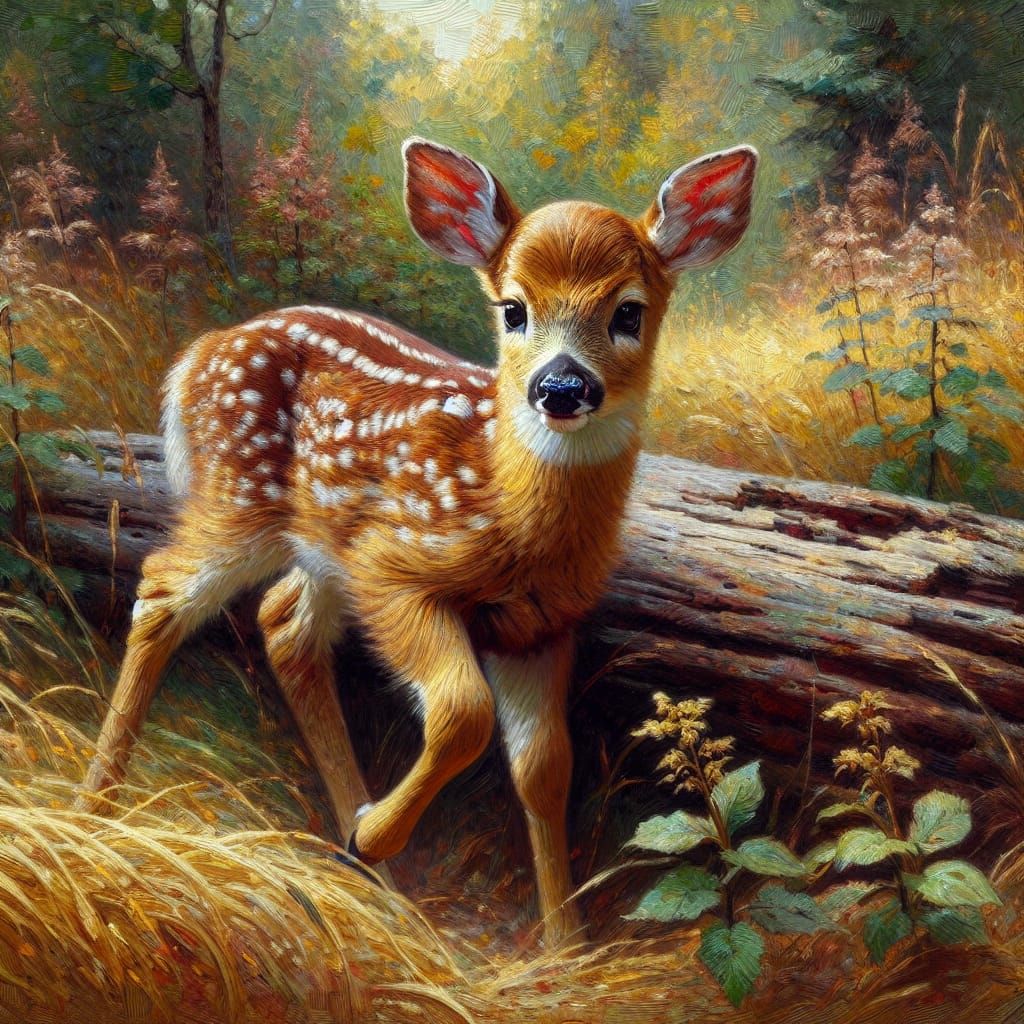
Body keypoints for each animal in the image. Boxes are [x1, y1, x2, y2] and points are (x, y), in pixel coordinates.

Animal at [77, 137, 757, 946]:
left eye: (629, 311)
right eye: (512, 309)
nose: (562, 387)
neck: (509, 513)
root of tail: (196, 353)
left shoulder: (541, 626)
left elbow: (544, 769)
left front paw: (566, 947)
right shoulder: (394, 565)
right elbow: (463, 713)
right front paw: (374, 832)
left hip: (319, 542)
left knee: (282, 624)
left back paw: (376, 881)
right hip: (237, 500)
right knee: (161, 589)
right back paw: (92, 810)